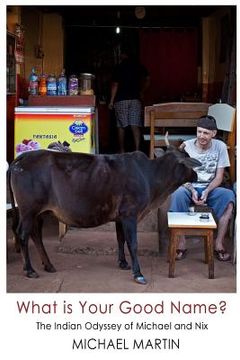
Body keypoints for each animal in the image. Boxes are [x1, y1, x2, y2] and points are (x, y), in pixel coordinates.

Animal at [7, 148, 201, 284]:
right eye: (188, 161)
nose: (197, 175)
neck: (150, 177)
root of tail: (23, 157)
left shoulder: (120, 217)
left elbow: (120, 239)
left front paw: (123, 263)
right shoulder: (130, 214)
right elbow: (133, 243)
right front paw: (138, 274)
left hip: (39, 213)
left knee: (36, 235)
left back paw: (48, 265)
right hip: (28, 210)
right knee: (23, 235)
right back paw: (30, 270)